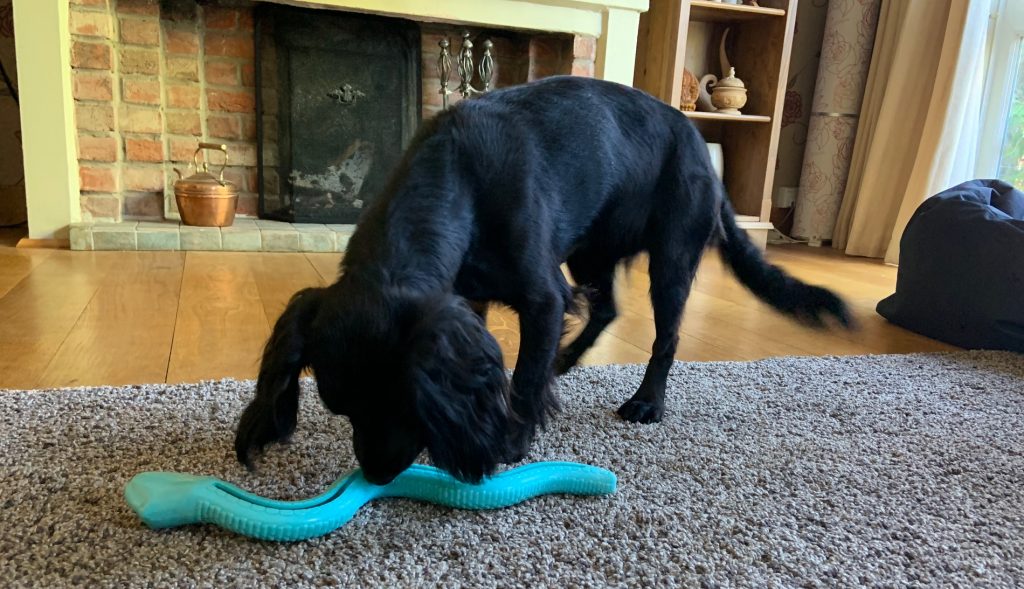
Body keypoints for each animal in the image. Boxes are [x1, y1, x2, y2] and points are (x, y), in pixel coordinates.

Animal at [235, 75, 851, 485]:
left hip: (672, 254)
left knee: (665, 334)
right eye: (339, 408)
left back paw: (646, 402)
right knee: (606, 308)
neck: (456, 175)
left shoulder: (541, 295)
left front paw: (512, 438)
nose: (378, 475)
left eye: (406, 403)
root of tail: (703, 146)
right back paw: (569, 359)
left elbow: (527, 376)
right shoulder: (470, 301)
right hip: (591, 252)